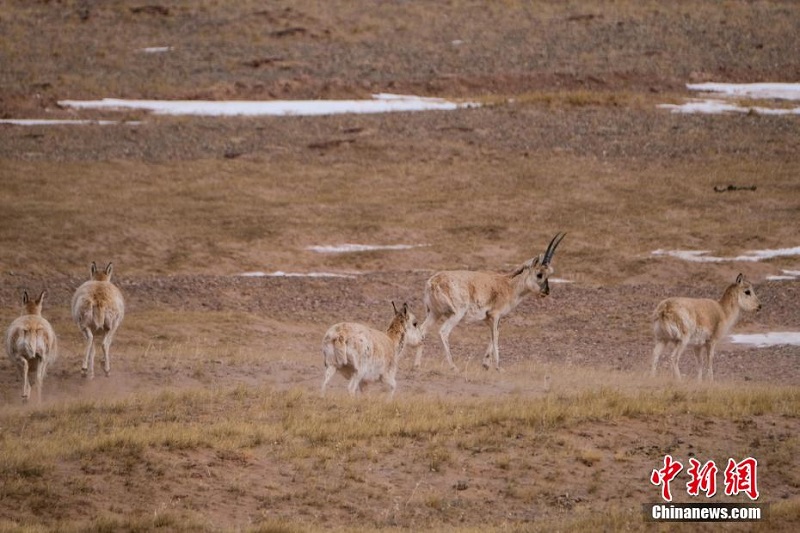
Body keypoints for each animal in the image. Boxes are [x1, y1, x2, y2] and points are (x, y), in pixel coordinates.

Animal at [416, 231, 564, 372]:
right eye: (539, 274)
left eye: (549, 274)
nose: (546, 292)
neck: (507, 284)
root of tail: (433, 282)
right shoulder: (495, 315)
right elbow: (496, 337)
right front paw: (498, 367)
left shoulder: (489, 319)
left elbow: (494, 334)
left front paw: (486, 364)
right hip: (456, 314)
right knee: (443, 332)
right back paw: (453, 367)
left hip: (434, 314)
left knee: (422, 330)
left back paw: (417, 364)